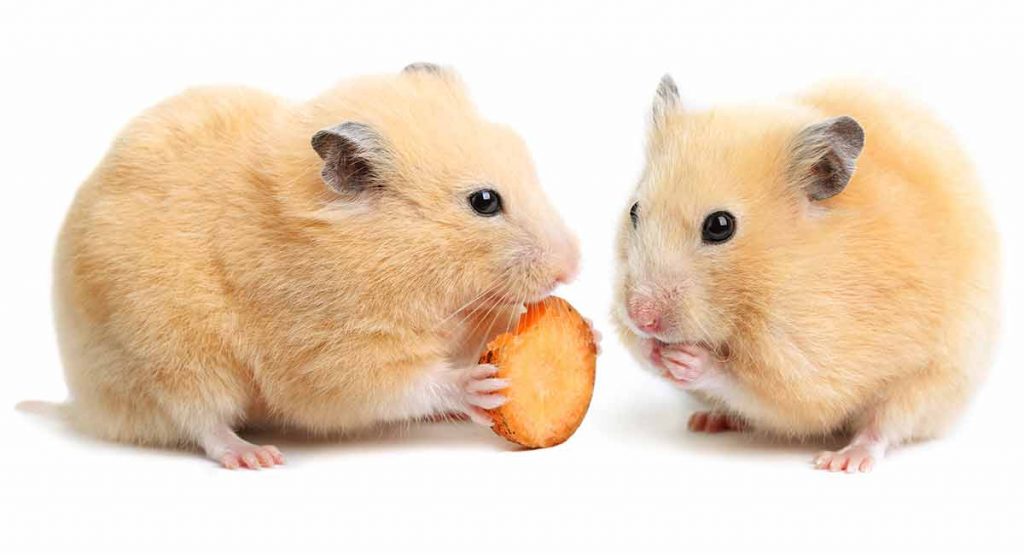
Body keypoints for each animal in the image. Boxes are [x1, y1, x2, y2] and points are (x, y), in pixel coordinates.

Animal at [47, 63, 580, 469]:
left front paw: (586, 330)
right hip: (169, 357)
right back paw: (254, 456)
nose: (572, 268)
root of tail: (83, 404)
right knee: (200, 419)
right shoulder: (331, 354)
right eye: (484, 202)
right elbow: (405, 383)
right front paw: (479, 385)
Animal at [614, 76, 1000, 472]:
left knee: (885, 425)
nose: (641, 317)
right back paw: (708, 420)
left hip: (932, 380)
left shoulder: (809, 366)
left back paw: (843, 460)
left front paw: (687, 360)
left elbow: (760, 388)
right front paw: (648, 348)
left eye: (720, 226)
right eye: (634, 210)